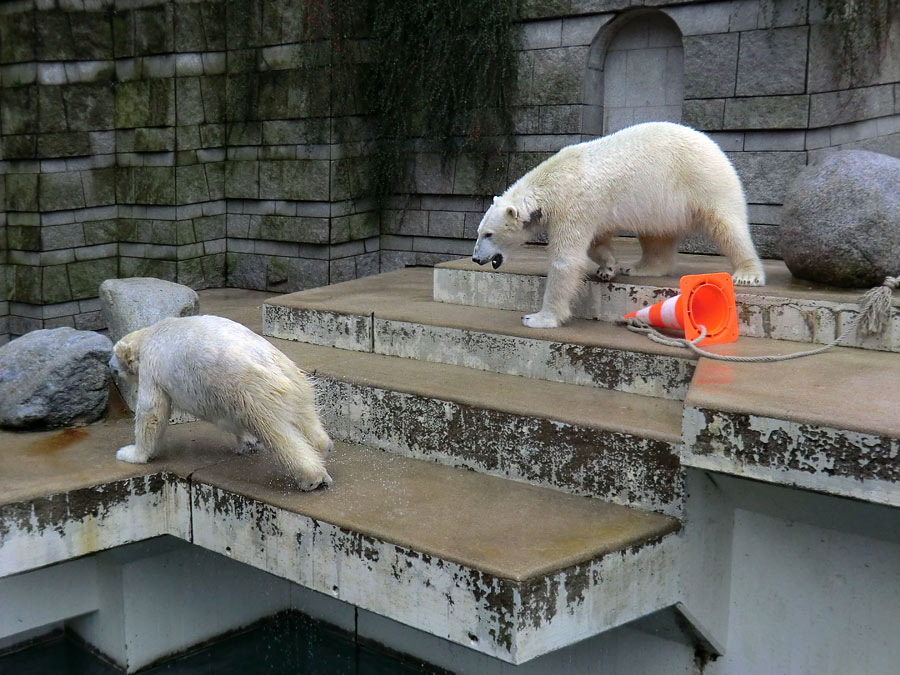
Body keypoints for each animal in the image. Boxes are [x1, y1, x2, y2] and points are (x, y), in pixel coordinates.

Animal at [109, 314, 334, 494]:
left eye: (112, 354)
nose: (109, 365)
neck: (148, 335)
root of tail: (269, 362)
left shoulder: (152, 368)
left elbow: (151, 413)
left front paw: (131, 453)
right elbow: (227, 417)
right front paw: (248, 442)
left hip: (254, 388)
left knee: (275, 430)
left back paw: (312, 478)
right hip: (294, 379)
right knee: (304, 414)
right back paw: (322, 445)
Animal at [472, 123, 768, 330]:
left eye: (489, 234)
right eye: (479, 233)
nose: (476, 258)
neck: (552, 182)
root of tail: (714, 145)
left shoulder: (573, 205)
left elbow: (567, 260)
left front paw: (539, 318)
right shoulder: (590, 211)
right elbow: (596, 242)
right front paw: (608, 267)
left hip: (703, 179)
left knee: (727, 224)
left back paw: (747, 274)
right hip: (660, 204)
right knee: (656, 237)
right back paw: (639, 268)